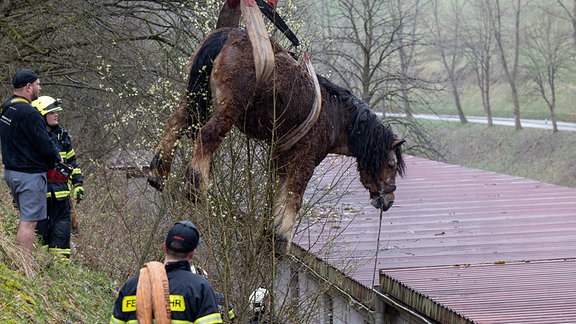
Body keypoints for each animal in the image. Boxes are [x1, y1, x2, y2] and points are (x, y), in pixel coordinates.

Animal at [148, 27, 404, 256]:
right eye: (391, 165)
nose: (390, 200)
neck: (335, 115)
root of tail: (228, 34)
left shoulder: (282, 161)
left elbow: (279, 195)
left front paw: (272, 235)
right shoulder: (305, 161)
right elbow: (294, 198)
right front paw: (282, 239)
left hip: (194, 98)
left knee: (175, 124)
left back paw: (158, 171)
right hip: (228, 108)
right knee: (207, 136)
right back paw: (196, 186)